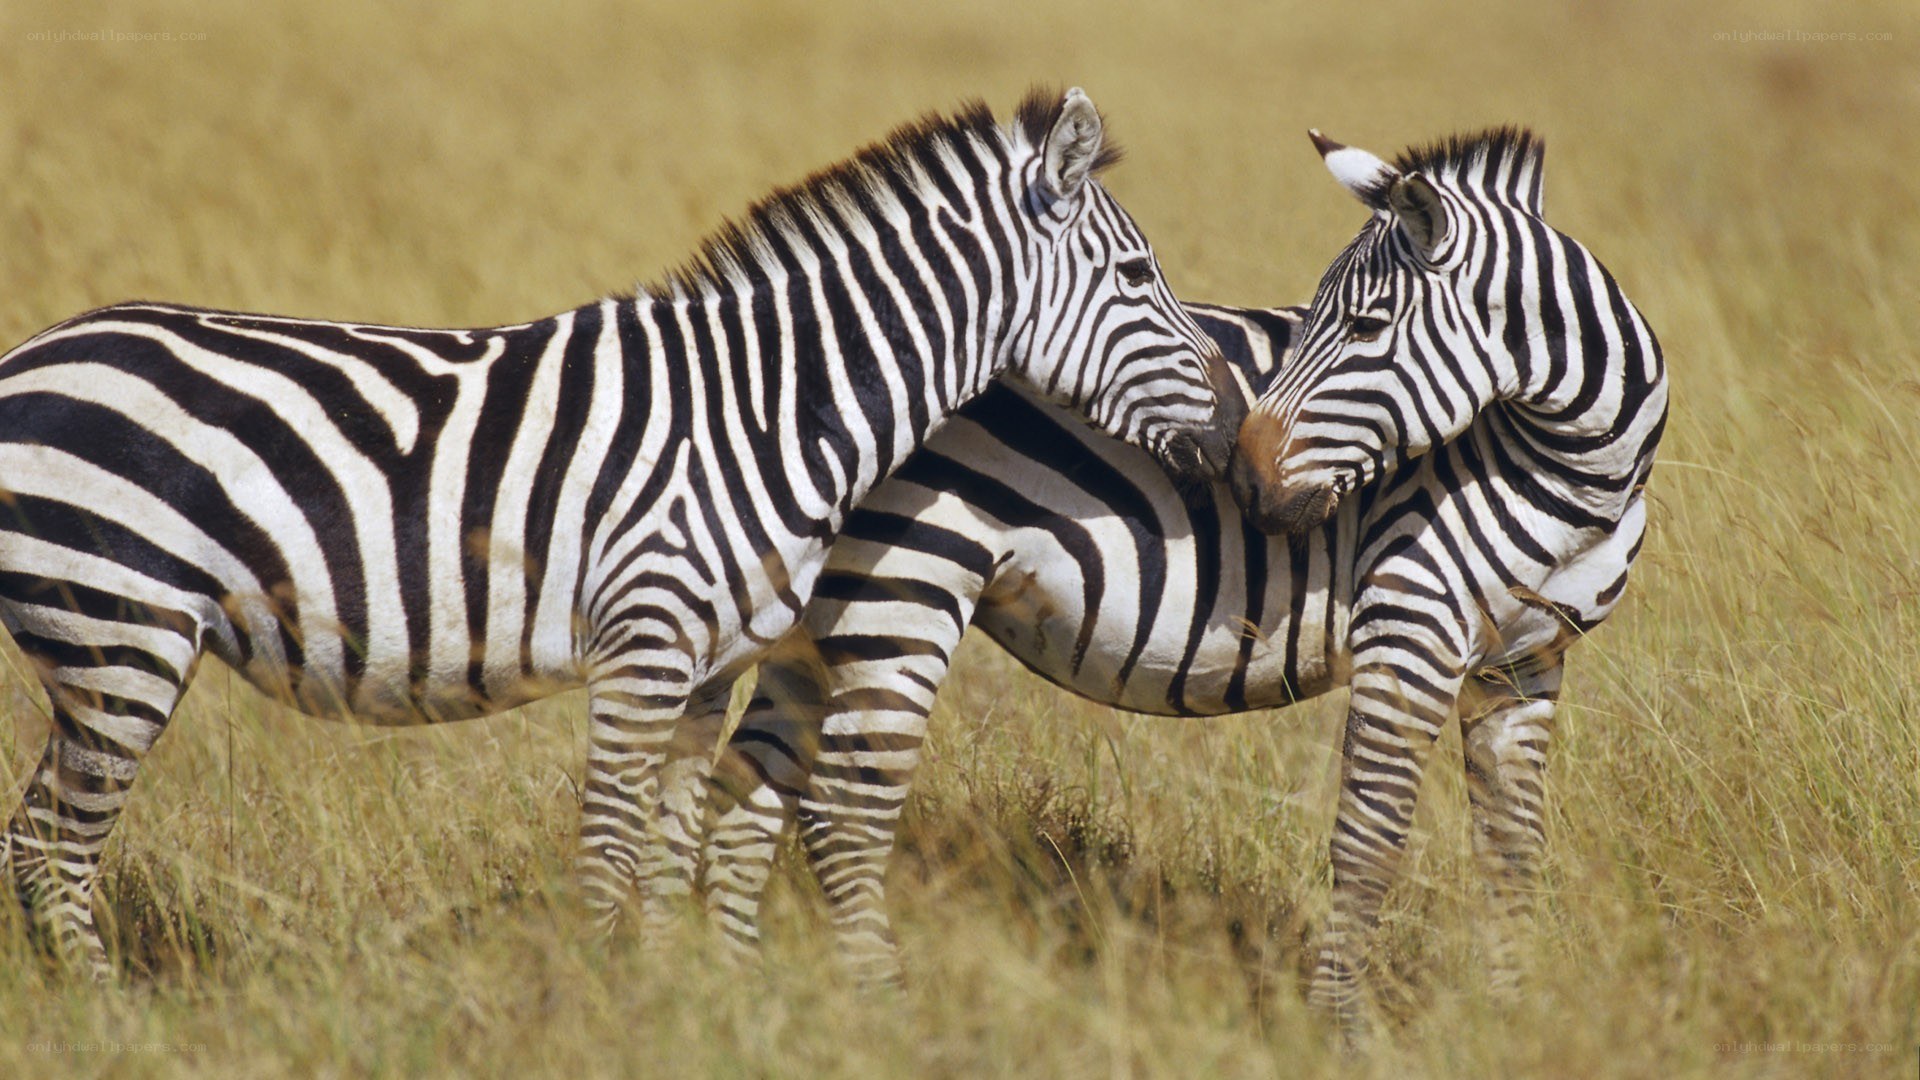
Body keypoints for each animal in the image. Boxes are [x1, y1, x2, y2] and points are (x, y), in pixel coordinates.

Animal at [0, 87, 1245, 977]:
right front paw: (613, 1008)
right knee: (56, 845)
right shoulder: (645, 644)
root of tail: (32, 355)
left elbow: (670, 848)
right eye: (1138, 273)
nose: (1240, 423)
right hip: (122, 634)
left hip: (100, 648)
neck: (767, 406)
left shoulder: (713, 662)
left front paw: (670, 997)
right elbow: (608, 850)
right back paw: (107, 1015)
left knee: (33, 838)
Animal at [691, 127, 1666, 1032]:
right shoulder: (1410, 626)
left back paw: (741, 990)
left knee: (749, 789)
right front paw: (1341, 1029)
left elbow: (1514, 851)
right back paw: (885, 1014)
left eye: (1364, 328)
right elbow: (1371, 838)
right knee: (842, 813)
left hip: (817, 616)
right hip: (904, 578)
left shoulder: (1525, 663)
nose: (1247, 479)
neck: (1579, 472)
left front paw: (1514, 1017)